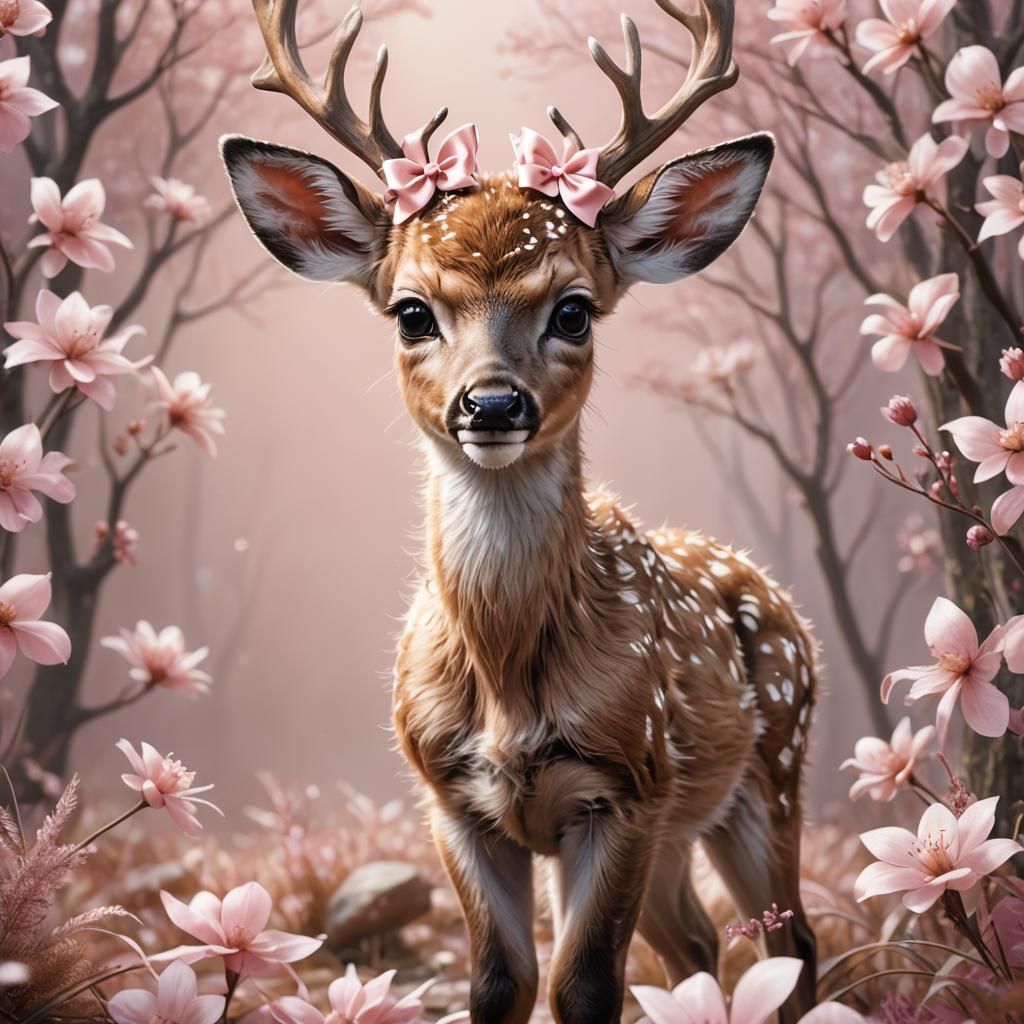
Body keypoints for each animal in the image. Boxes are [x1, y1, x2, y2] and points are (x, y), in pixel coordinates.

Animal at [220, 1, 819, 1021]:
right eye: (411, 311)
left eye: (573, 309)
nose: (493, 405)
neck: (506, 677)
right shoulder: (450, 799)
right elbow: (501, 982)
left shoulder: (626, 786)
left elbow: (584, 986)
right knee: (698, 944)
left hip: (769, 770)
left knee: (795, 946)